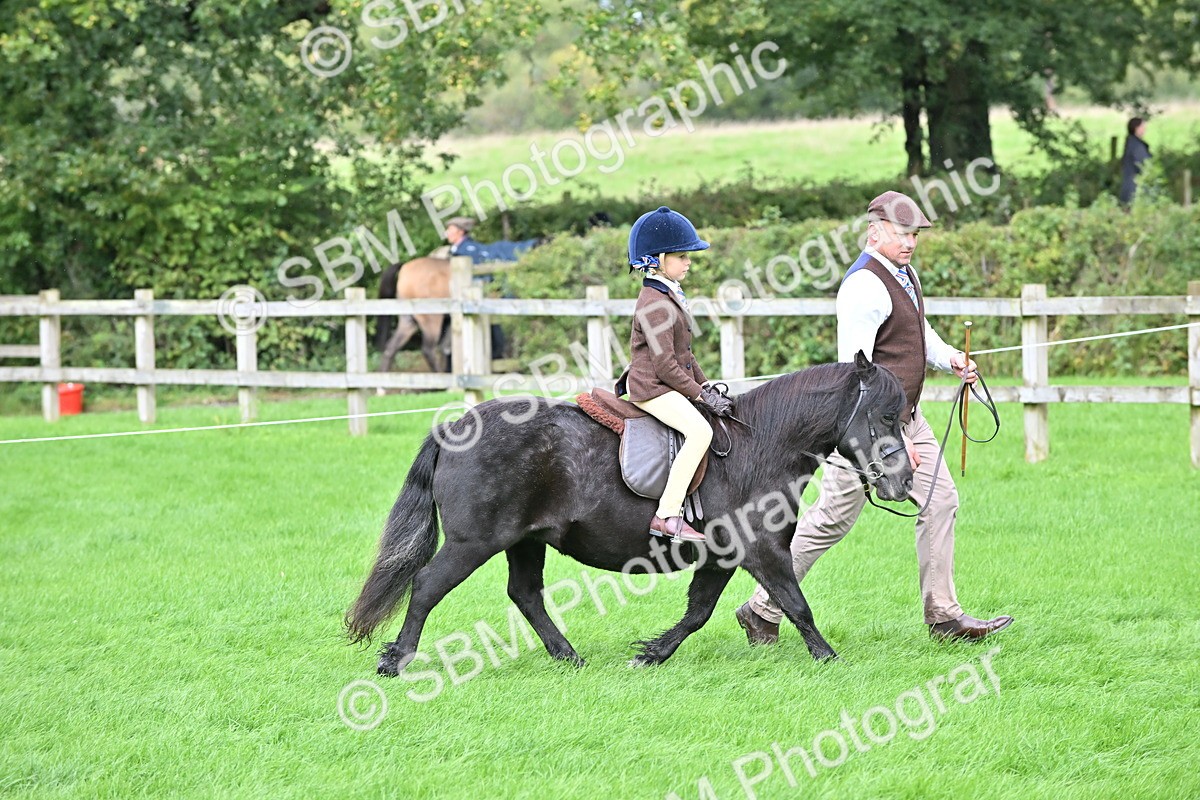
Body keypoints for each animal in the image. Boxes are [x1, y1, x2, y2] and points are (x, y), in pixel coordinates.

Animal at [346, 353, 914, 674]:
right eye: (886, 416)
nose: (906, 481)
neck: (762, 446)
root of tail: (456, 428)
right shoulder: (762, 550)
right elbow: (797, 604)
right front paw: (829, 659)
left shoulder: (722, 557)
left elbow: (698, 611)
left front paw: (651, 654)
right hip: (474, 542)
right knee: (426, 586)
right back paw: (397, 660)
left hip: (523, 541)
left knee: (525, 595)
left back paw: (567, 656)